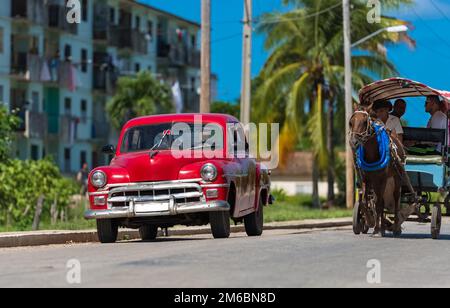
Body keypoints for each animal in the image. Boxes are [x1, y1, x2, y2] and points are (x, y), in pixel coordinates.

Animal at [348, 109, 414, 237]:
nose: (354, 142)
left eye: (365, 122)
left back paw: (395, 228)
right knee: (379, 200)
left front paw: (377, 229)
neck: (372, 154)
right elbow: (365, 202)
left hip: (396, 177)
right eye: (351, 122)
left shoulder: (382, 179)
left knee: (396, 198)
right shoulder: (366, 179)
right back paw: (382, 226)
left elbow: (379, 203)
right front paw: (370, 222)